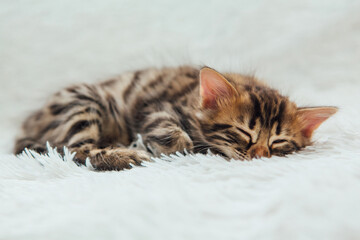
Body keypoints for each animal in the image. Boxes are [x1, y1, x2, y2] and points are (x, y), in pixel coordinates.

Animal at [14, 65, 338, 171]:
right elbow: (171, 131)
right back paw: (125, 155)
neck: (193, 98)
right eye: (243, 133)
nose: (259, 155)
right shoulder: (156, 107)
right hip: (83, 103)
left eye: (278, 142)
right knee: (76, 150)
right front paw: (179, 146)